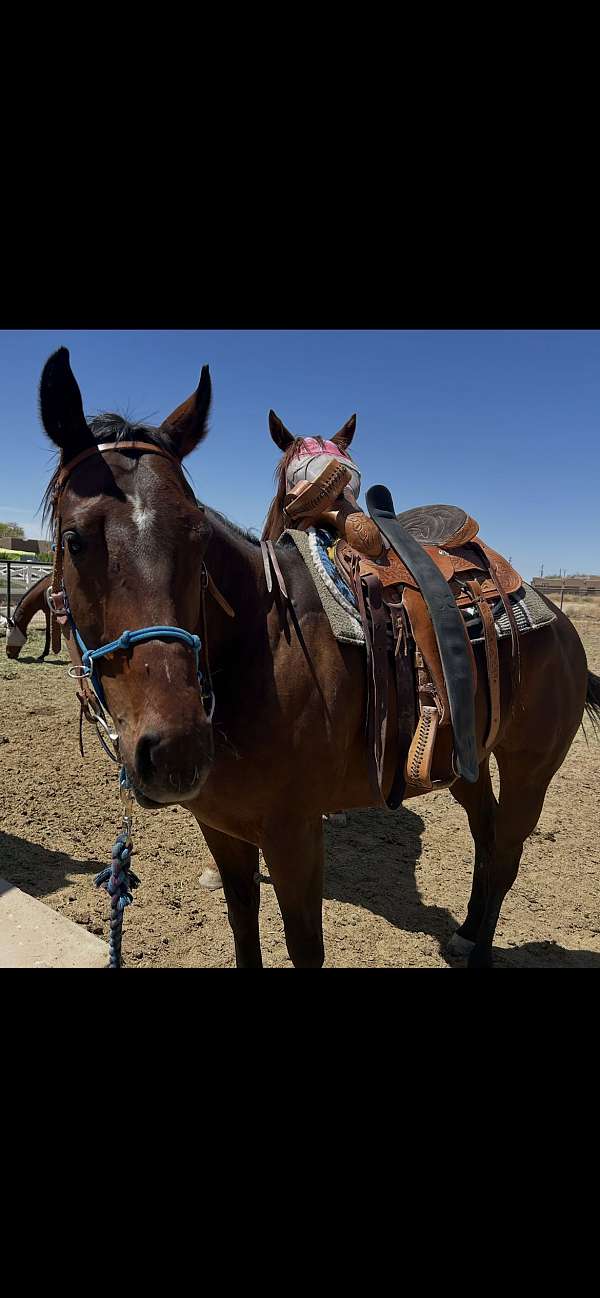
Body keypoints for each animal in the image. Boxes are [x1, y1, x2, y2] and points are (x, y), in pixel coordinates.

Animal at [39, 347, 600, 968]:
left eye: (196, 535)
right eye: (74, 540)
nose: (176, 750)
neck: (264, 649)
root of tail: (560, 623)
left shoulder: (295, 835)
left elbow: (304, 944)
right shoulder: (223, 830)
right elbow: (242, 923)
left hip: (530, 768)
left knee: (505, 856)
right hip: (464, 759)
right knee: (487, 832)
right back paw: (467, 931)